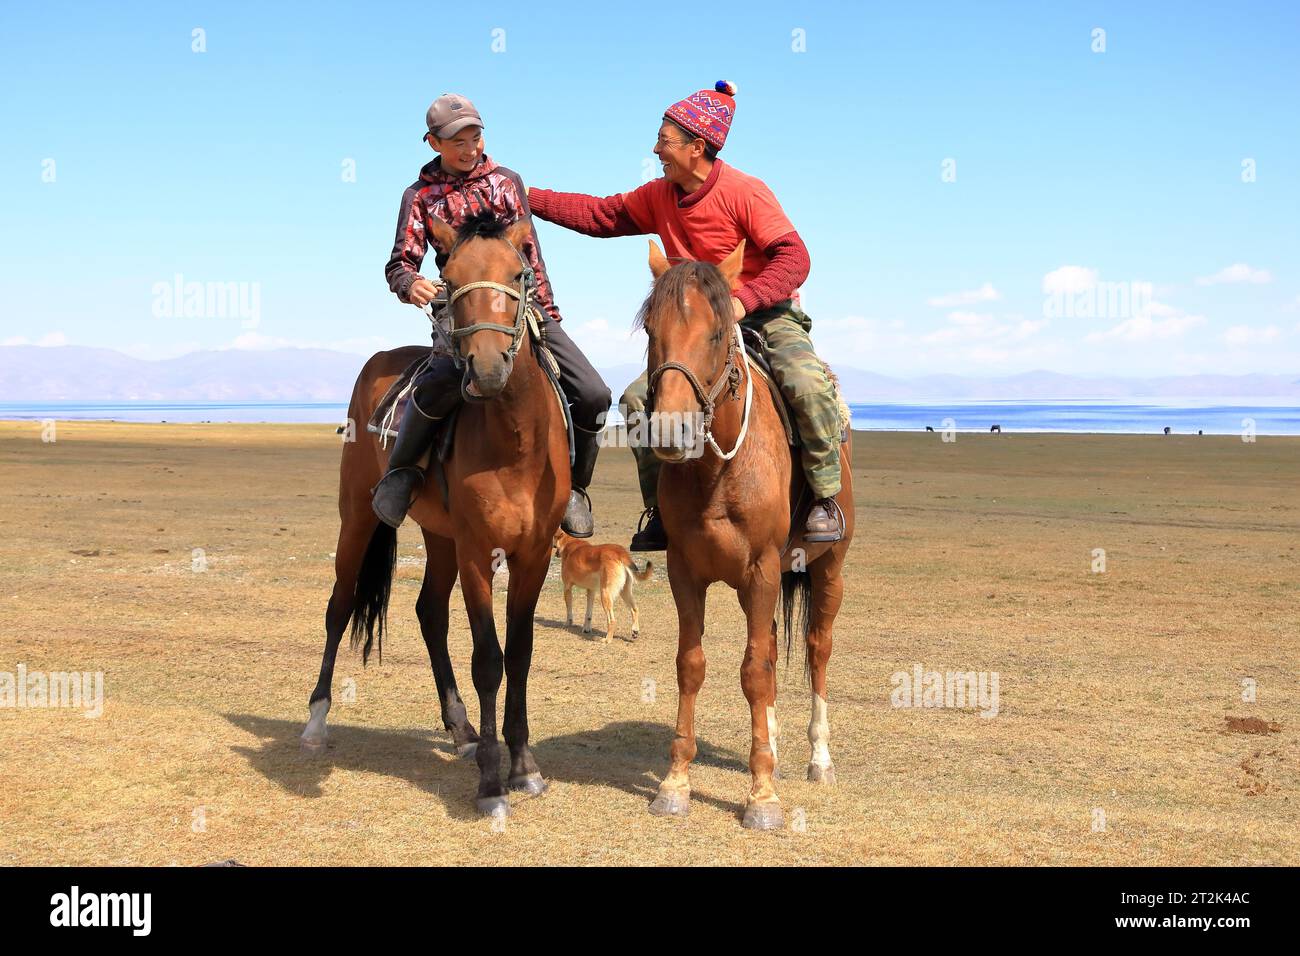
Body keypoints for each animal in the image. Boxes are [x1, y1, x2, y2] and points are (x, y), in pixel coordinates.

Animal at [304, 214, 574, 816]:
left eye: (519, 273)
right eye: (447, 279)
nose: (488, 369)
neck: (515, 440)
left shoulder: (534, 555)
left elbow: (520, 653)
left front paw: (524, 766)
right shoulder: (478, 553)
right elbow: (489, 660)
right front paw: (492, 785)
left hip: (439, 534)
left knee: (429, 611)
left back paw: (462, 729)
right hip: (358, 518)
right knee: (339, 606)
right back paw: (315, 720)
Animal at [637, 239, 852, 832]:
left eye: (715, 333)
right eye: (651, 330)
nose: (671, 430)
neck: (717, 471)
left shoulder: (761, 569)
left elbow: (754, 672)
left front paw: (762, 797)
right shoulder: (685, 572)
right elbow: (692, 666)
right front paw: (675, 784)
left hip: (829, 570)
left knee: (816, 649)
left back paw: (818, 759)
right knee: (776, 651)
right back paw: (772, 746)